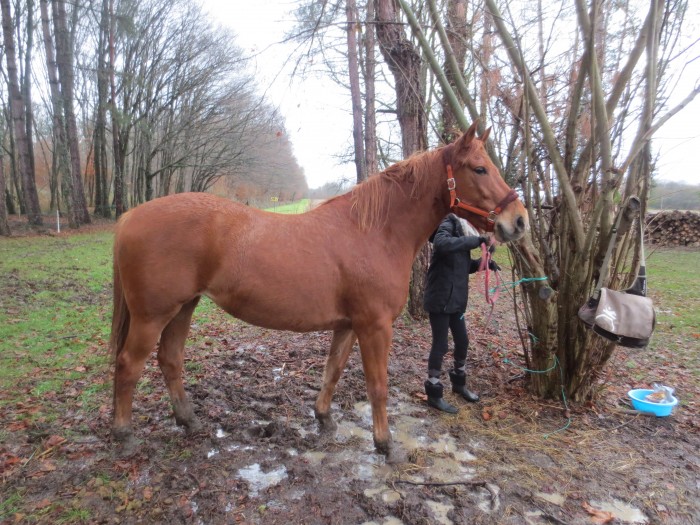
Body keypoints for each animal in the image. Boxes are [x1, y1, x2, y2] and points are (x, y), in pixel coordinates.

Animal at [110, 123, 524, 458]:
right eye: (480, 168)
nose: (518, 221)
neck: (374, 232)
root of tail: (130, 217)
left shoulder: (349, 324)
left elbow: (333, 371)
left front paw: (324, 419)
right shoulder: (375, 326)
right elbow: (377, 385)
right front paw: (385, 444)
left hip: (184, 307)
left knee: (170, 360)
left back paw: (189, 421)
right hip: (153, 315)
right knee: (129, 364)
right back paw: (125, 436)